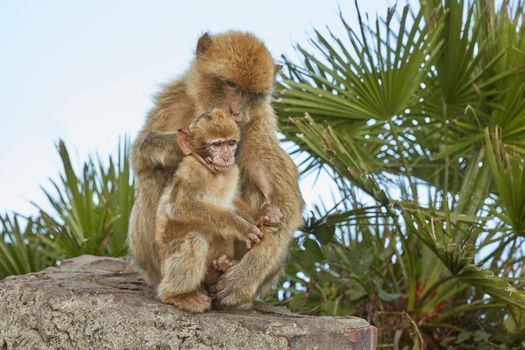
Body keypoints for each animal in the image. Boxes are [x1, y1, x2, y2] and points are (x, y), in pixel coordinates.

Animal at [154, 108, 280, 312]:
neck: (213, 172)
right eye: (216, 144)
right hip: (166, 265)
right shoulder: (192, 172)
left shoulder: (232, 172)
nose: (227, 156)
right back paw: (178, 295)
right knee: (194, 242)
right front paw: (241, 226)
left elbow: (232, 201)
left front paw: (261, 215)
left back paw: (222, 267)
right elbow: (179, 207)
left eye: (230, 143)